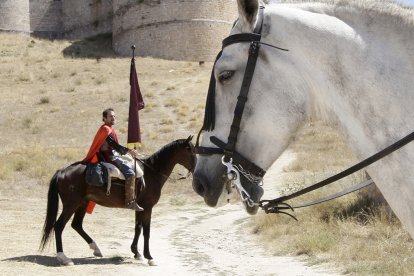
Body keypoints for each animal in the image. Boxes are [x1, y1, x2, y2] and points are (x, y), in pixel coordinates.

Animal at [39, 136, 195, 266]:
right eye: (190, 150)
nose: (195, 168)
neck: (151, 174)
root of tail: (62, 171)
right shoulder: (148, 207)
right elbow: (146, 231)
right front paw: (149, 257)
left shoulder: (140, 208)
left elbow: (138, 228)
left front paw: (136, 253)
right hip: (71, 204)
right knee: (59, 226)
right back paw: (64, 258)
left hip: (82, 204)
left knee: (76, 225)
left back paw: (96, 249)